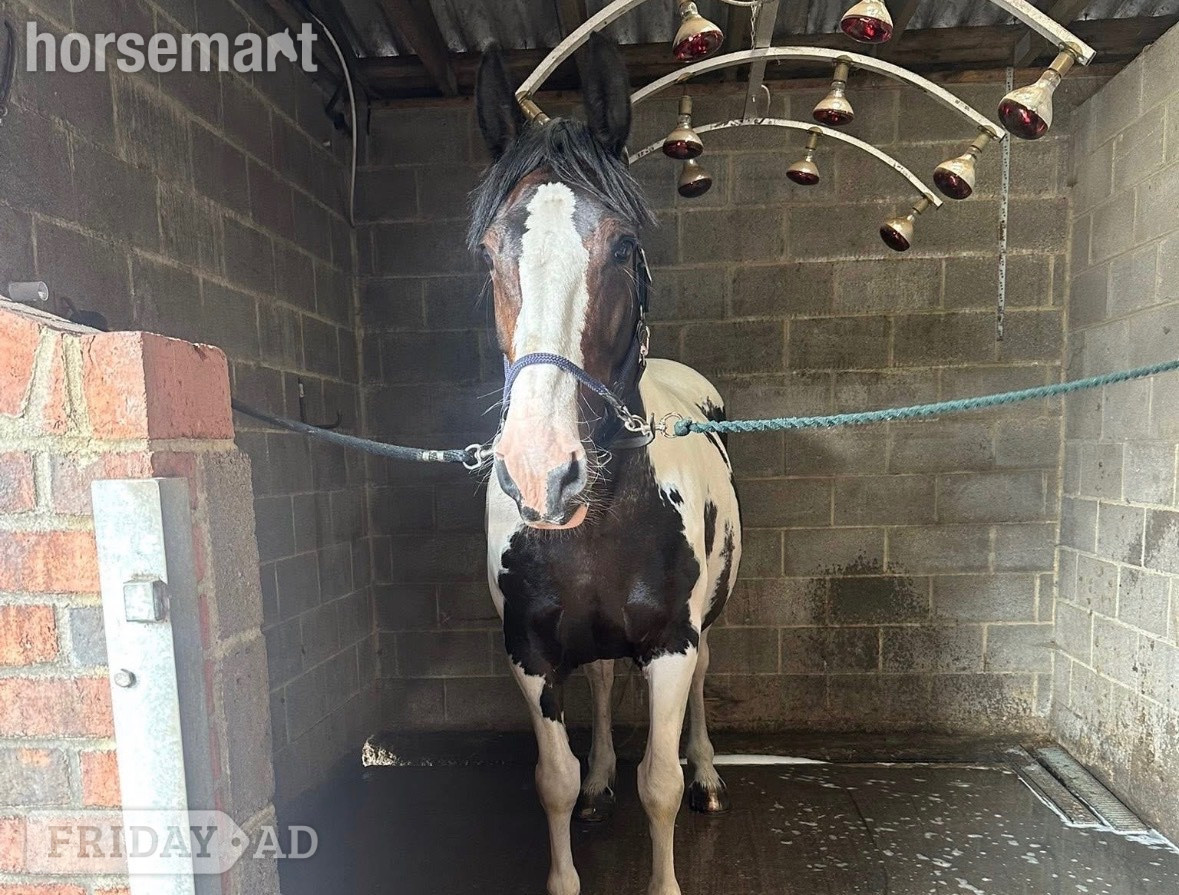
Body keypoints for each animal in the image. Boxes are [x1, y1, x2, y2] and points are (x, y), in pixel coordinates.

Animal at [471, 35, 743, 895]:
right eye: (489, 253)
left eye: (623, 245)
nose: (539, 470)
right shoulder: (528, 651)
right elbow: (551, 780)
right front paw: (580, 798)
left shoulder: (669, 644)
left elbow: (658, 784)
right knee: (595, 681)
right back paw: (598, 783)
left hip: (706, 619)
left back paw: (709, 774)